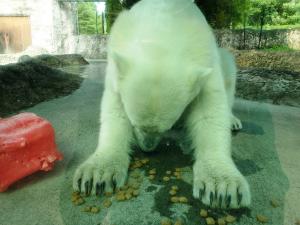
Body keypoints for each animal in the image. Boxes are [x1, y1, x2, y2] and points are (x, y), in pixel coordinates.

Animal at [73, 0, 251, 209]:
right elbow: (114, 109)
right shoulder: (116, 60)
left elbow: (210, 111)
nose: (147, 148)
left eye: (164, 128)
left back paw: (232, 120)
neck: (163, 24)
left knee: (229, 66)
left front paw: (222, 187)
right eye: (135, 124)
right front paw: (97, 175)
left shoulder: (206, 56)